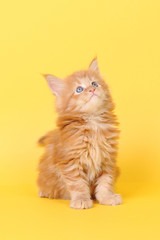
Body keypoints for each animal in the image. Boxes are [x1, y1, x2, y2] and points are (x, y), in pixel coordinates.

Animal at [37, 58, 122, 208]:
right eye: (79, 89)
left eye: (94, 83)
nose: (92, 89)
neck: (93, 122)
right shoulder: (70, 162)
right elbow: (78, 184)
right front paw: (81, 199)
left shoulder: (107, 159)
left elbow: (106, 182)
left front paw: (107, 197)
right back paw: (45, 192)